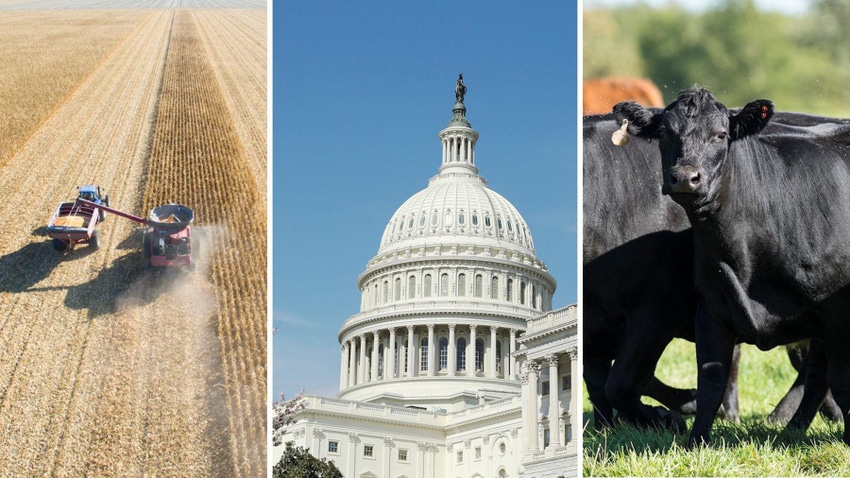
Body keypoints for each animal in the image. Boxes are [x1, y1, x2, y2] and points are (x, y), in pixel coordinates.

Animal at [612, 87, 848, 448]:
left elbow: (841, 378)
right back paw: (790, 429)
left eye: (721, 135)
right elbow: (712, 377)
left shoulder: (834, 314)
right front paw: (696, 442)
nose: (685, 178)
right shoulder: (712, 308)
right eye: (664, 132)